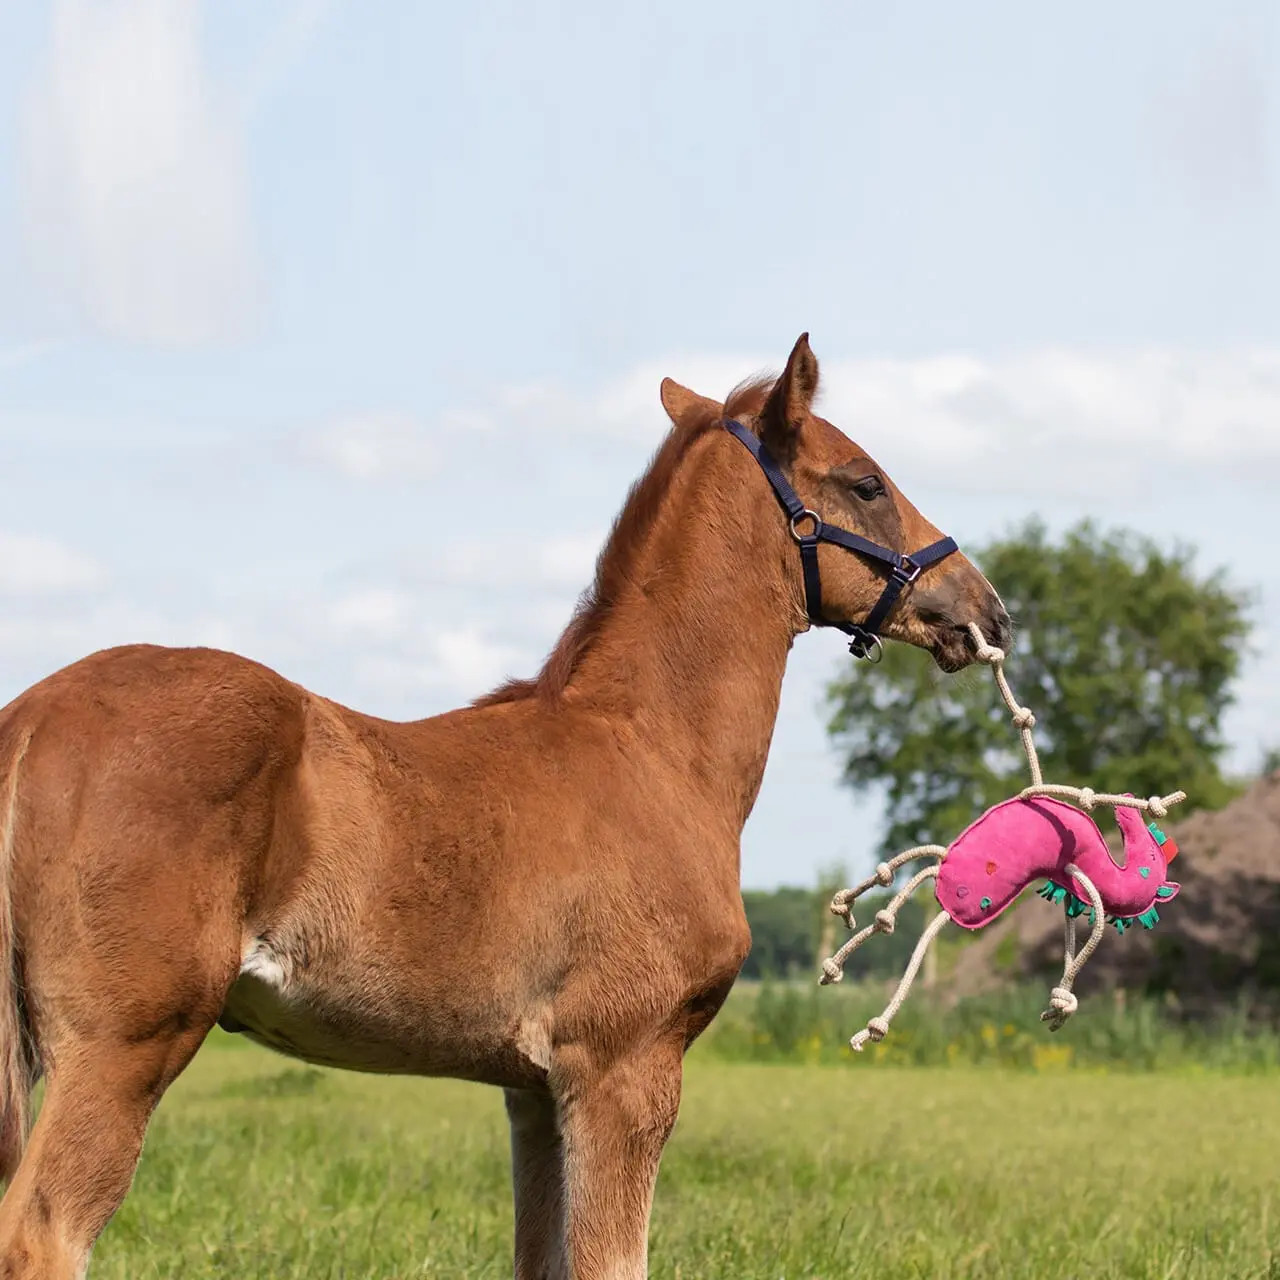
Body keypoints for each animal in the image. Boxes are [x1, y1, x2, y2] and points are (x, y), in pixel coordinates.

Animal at [0, 334, 1010, 1278]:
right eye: (866, 482)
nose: (985, 609)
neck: (650, 751)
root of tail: (32, 716)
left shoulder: (533, 1090)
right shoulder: (625, 1067)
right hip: (125, 1045)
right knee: (42, 1233)